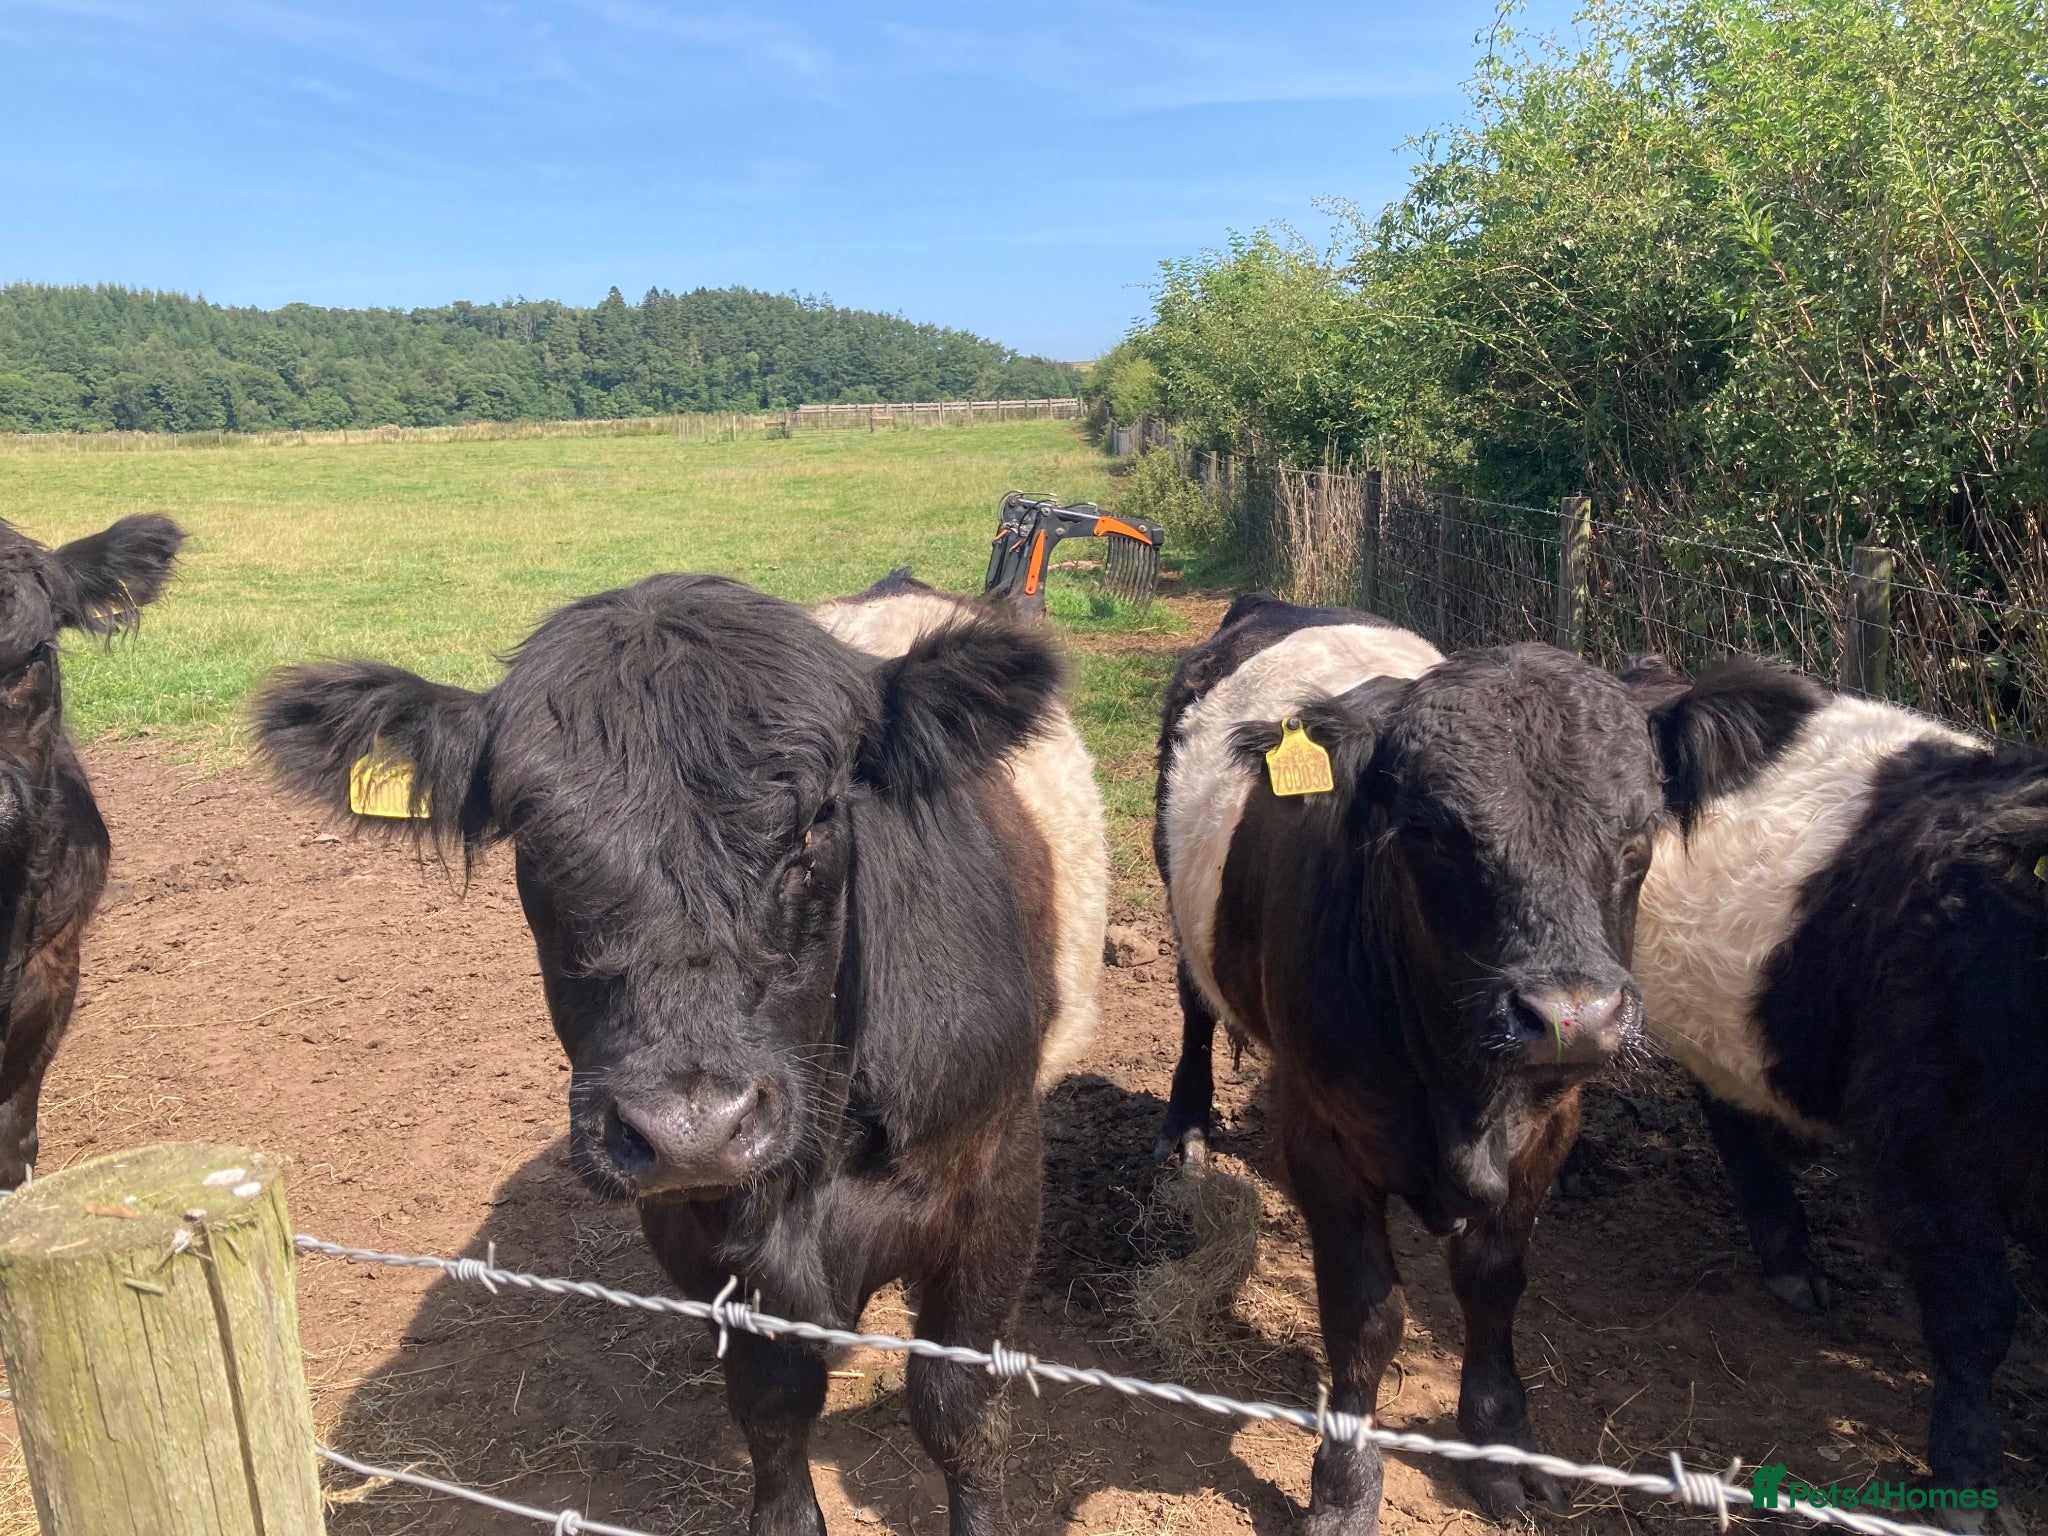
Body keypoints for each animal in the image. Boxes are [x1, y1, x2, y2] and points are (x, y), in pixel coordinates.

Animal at [255, 569, 1108, 1536]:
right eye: (531, 836)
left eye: (818, 821)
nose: (692, 1129)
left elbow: (957, 1412)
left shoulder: (998, 1187)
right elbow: (772, 1406)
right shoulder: (692, 1232)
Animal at [1153, 593, 1662, 1534]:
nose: (1572, 1019)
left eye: (1640, 831)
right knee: (1195, 1005)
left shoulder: (1549, 1132)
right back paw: (1186, 1128)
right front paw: (1345, 1485)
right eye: (1427, 830)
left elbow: (1494, 1286)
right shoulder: (1320, 1134)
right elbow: (1366, 1316)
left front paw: (1502, 1447)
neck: (1460, 1088)